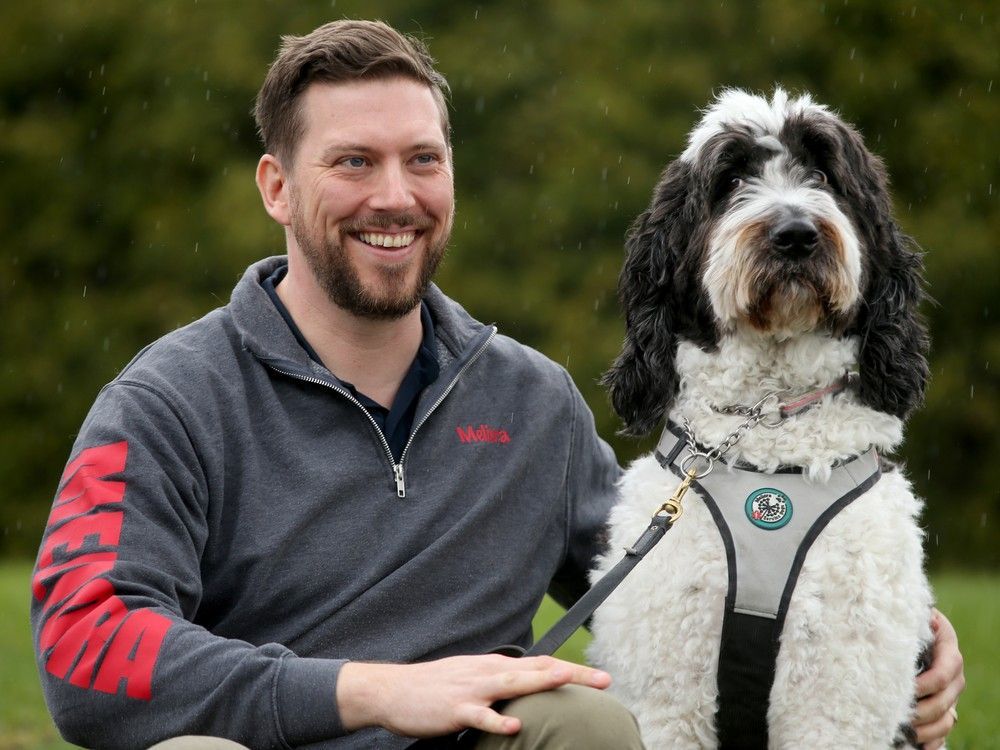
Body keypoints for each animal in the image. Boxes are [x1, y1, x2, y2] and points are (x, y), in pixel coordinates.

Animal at [588, 91, 932, 748]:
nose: (795, 234)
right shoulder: (669, 697)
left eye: (823, 176)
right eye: (731, 182)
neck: (767, 427)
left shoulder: (833, 703)